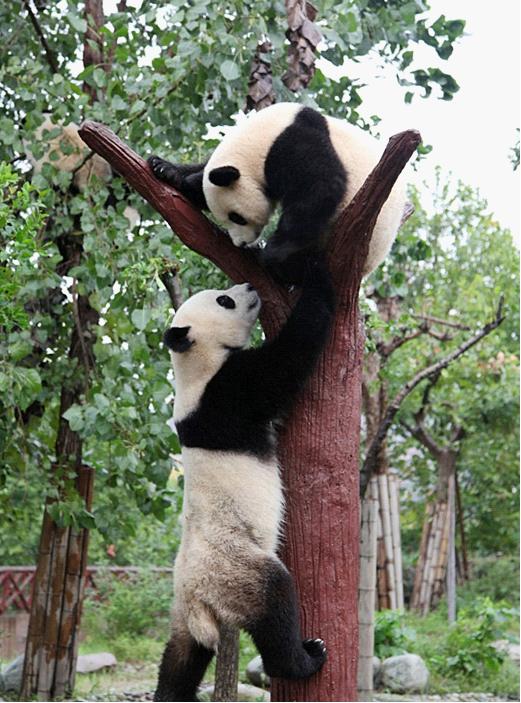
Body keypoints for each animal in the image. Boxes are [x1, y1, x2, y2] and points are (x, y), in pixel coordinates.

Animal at [149, 102, 407, 282]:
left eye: (236, 217)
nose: (240, 243)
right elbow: (200, 178)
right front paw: (165, 169)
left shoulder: (291, 143)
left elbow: (322, 187)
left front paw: (273, 252)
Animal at [155, 258, 334, 702]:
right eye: (224, 299)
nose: (250, 285)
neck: (192, 365)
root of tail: (200, 598)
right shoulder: (228, 393)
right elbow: (285, 362)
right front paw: (317, 274)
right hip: (236, 568)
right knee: (274, 601)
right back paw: (304, 659)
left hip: (183, 606)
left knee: (180, 657)